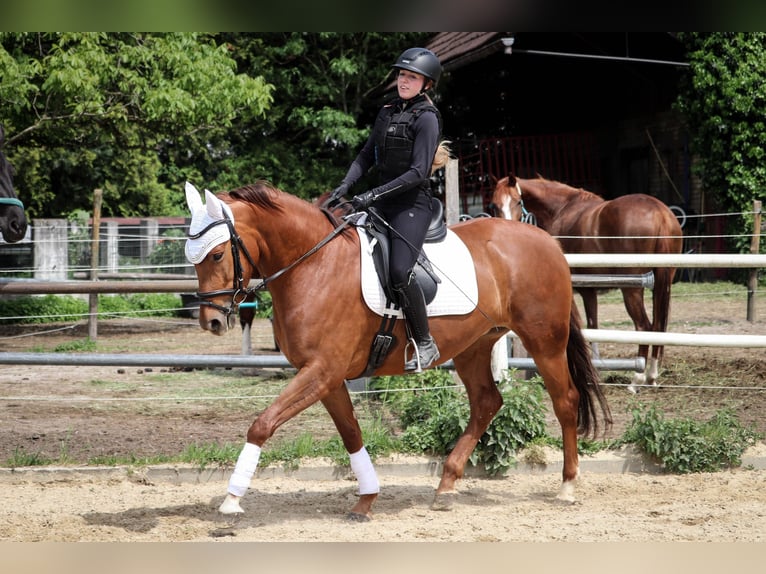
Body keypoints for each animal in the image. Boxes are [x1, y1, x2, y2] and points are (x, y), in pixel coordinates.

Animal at [186, 181, 612, 520]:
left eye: (217, 254)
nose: (211, 321)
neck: (314, 264)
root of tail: (547, 241)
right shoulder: (327, 377)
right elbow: (351, 433)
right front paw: (366, 499)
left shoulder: (322, 371)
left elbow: (262, 424)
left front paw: (231, 499)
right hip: (475, 346)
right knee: (487, 403)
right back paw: (445, 486)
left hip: (544, 341)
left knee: (564, 400)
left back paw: (567, 486)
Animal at [496, 176, 688, 392]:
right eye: (495, 205)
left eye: (517, 201)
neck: (562, 208)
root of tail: (659, 213)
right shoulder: (590, 290)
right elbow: (593, 325)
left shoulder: (582, 290)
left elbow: (587, 328)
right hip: (661, 285)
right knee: (658, 326)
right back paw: (651, 376)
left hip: (632, 289)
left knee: (643, 326)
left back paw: (636, 380)